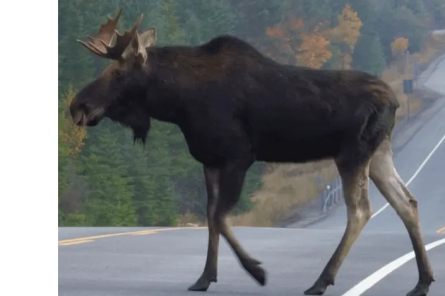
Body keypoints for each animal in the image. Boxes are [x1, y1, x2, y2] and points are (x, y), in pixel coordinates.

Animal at [69, 8, 434, 296]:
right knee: (407, 201)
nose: (77, 106)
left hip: (352, 153)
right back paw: (422, 281)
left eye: (118, 72)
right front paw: (204, 277)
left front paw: (257, 271)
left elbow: (220, 216)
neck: (179, 102)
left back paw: (321, 280)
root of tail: (395, 101)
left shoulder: (238, 156)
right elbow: (211, 216)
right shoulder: (210, 160)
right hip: (379, 153)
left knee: (360, 210)